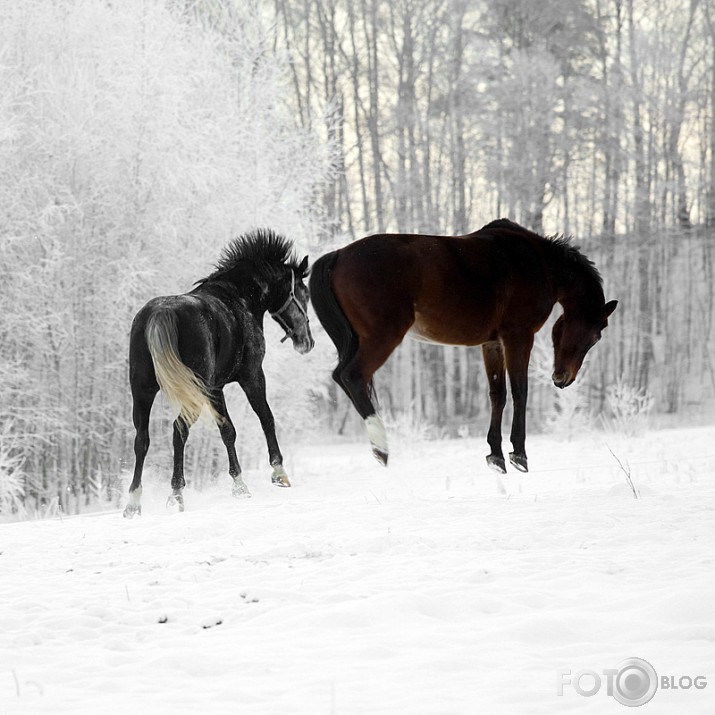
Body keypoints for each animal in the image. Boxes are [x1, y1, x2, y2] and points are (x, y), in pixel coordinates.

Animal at [310, 220, 620, 476]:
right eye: (595, 336)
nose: (563, 378)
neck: (539, 263)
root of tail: (338, 254)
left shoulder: (492, 343)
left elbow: (498, 394)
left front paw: (495, 455)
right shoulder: (518, 337)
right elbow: (520, 392)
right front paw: (519, 454)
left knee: (342, 378)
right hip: (382, 337)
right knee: (352, 376)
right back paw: (381, 447)